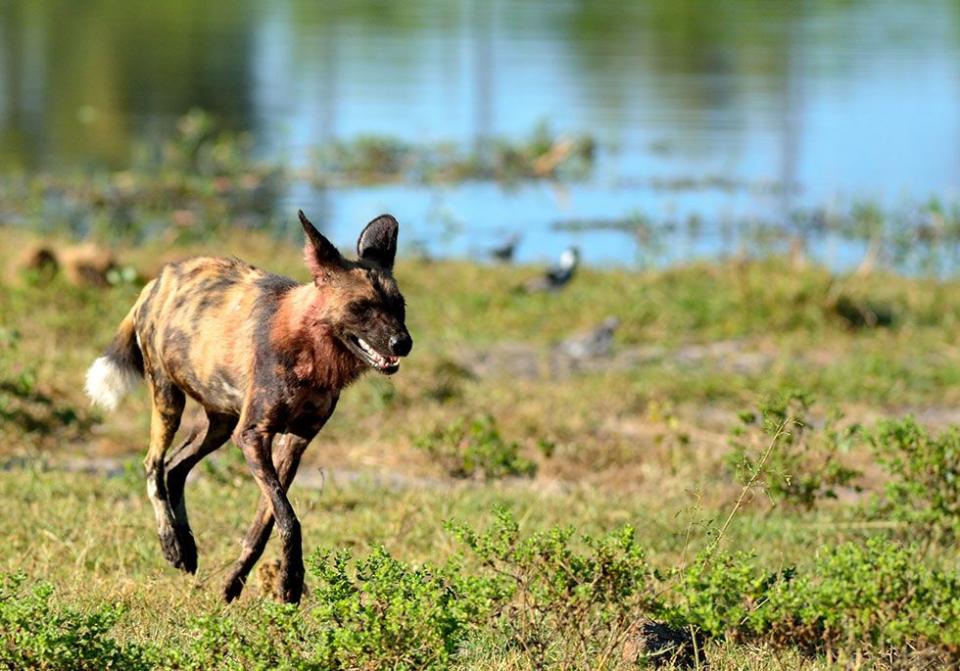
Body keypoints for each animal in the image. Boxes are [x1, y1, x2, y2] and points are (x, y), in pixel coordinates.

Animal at [84, 214, 410, 604]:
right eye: (361, 308)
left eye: (400, 307)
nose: (403, 343)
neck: (308, 351)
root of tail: (158, 280)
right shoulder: (254, 436)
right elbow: (289, 519)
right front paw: (289, 583)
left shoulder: (294, 443)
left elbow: (265, 525)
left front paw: (235, 585)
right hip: (169, 401)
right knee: (153, 464)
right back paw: (172, 544)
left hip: (220, 425)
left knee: (176, 468)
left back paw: (188, 548)